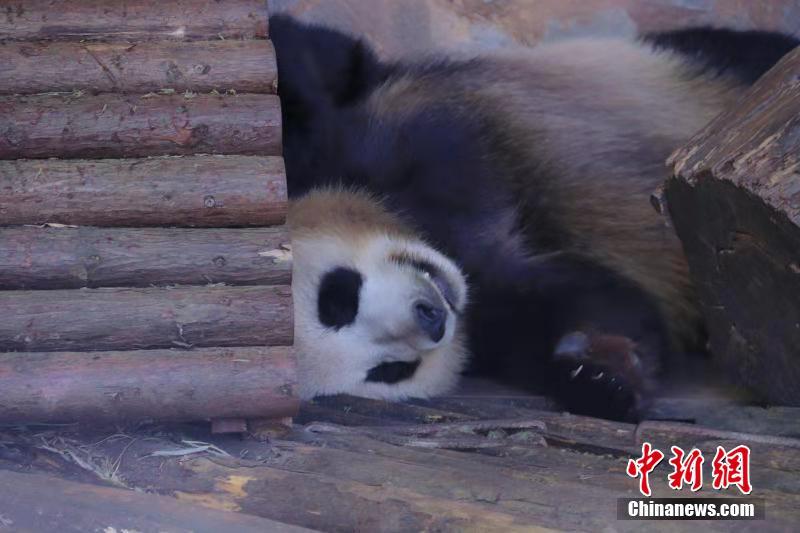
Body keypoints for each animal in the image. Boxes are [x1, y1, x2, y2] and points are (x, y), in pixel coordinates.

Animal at [272, 17, 796, 420]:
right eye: (389, 371)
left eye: (338, 297)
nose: (431, 316)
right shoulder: (493, 311)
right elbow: (600, 303)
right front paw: (601, 377)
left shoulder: (382, 137)